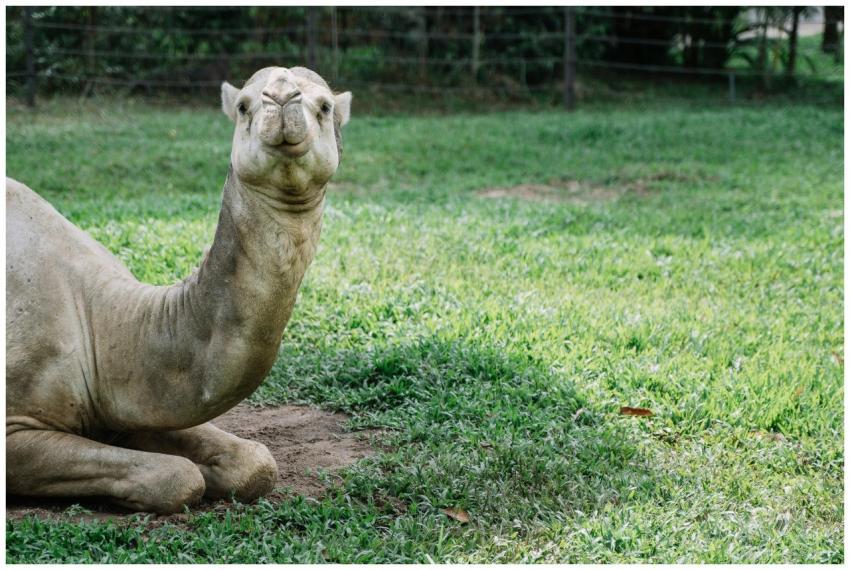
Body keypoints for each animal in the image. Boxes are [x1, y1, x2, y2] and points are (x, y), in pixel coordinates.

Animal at [6, 67, 352, 513]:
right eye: (244, 105)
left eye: (324, 106)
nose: (280, 99)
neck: (102, 326)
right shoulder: (14, 426)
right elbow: (177, 476)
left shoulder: (119, 408)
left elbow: (256, 462)